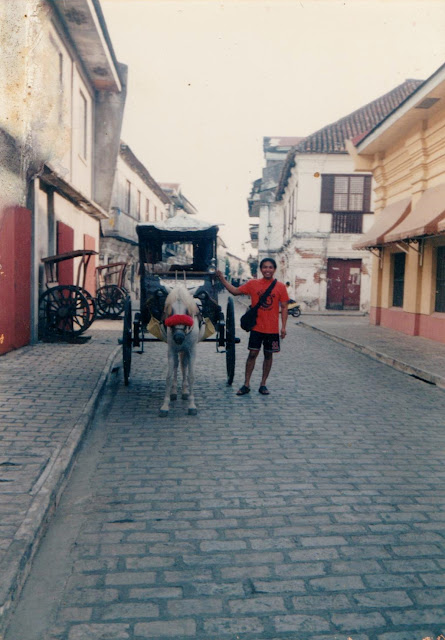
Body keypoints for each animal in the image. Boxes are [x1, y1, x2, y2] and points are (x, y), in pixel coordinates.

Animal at [159, 284, 206, 416]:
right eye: (171, 311)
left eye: (187, 311)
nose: (178, 337)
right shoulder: (171, 350)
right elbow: (169, 376)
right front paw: (165, 405)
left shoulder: (192, 350)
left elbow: (191, 376)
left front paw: (192, 405)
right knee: (177, 365)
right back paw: (174, 392)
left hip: (186, 350)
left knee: (184, 365)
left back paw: (185, 392)